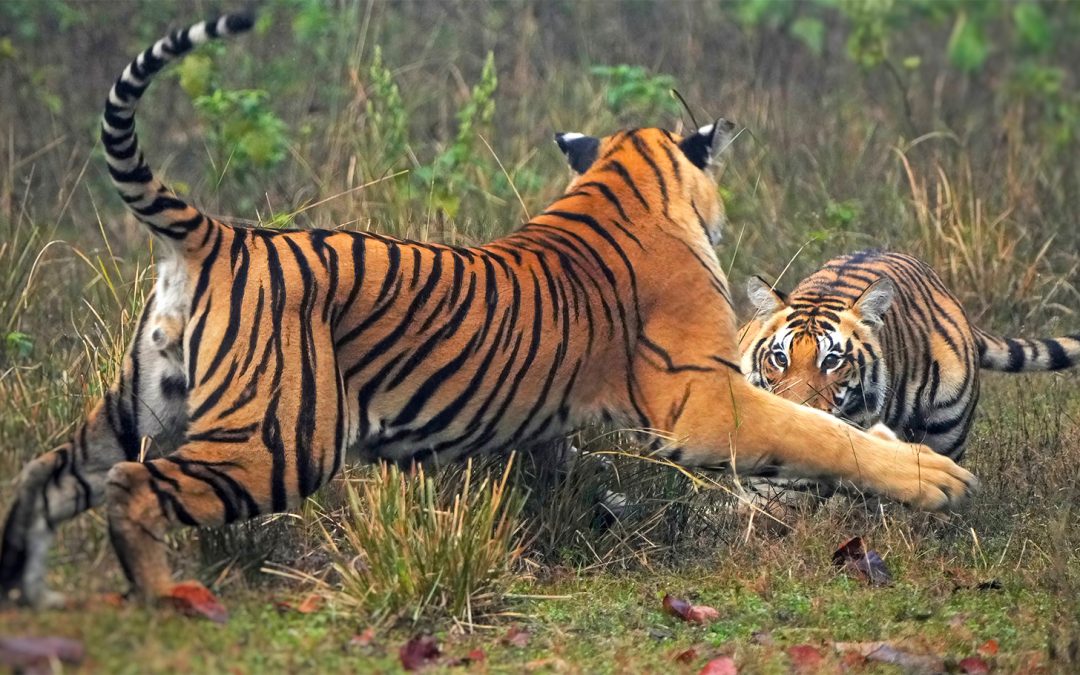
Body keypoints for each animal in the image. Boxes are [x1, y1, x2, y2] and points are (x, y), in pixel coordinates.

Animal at [0, 15, 974, 614]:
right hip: (275, 439)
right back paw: (163, 599)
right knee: (131, 489)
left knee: (46, 476)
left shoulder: (561, 418)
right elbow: (816, 432)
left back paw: (32, 590)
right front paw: (931, 477)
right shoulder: (707, 400)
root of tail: (220, 234)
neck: (626, 180)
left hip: (138, 400)